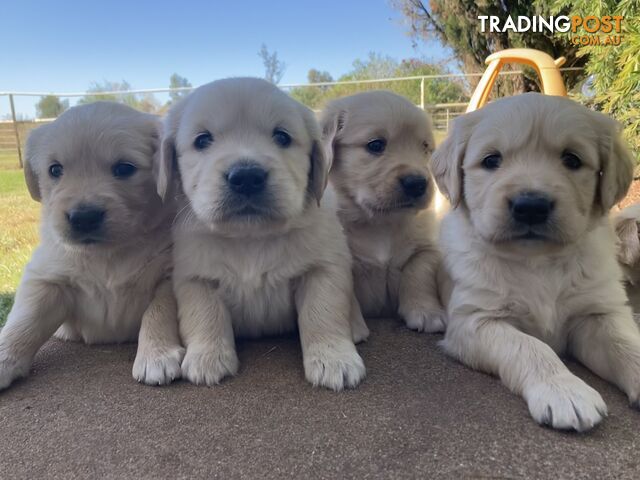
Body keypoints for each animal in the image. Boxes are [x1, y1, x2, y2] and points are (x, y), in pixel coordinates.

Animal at [0, 101, 185, 390]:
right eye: (55, 170)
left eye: (124, 168)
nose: (83, 217)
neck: (108, 254)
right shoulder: (47, 278)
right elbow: (25, 320)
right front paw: (5, 357)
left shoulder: (167, 274)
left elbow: (158, 311)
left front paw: (156, 355)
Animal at [162, 76, 364, 390]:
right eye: (202, 140)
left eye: (282, 137)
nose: (246, 177)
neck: (251, 238)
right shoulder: (195, 277)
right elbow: (204, 315)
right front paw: (207, 358)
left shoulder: (323, 268)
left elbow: (323, 313)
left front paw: (334, 359)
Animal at [320, 92, 444, 334]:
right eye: (376, 145)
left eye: (425, 147)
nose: (417, 183)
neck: (381, 223)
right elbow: (345, 290)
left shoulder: (427, 248)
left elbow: (419, 274)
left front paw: (426, 312)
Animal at [432, 93, 636, 432]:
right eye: (491, 160)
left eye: (572, 160)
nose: (530, 206)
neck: (537, 261)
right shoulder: (475, 320)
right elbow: (530, 347)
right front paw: (564, 390)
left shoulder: (597, 312)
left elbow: (625, 343)